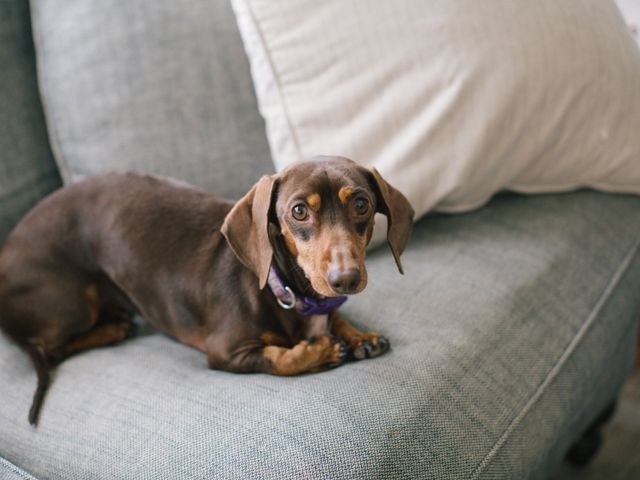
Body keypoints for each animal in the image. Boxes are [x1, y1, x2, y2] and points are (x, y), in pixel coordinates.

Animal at [0, 157, 416, 424]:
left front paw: (358, 334)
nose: (346, 278)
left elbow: (334, 317)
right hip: (72, 306)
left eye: (361, 204)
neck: (281, 287)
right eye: (299, 211)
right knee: (50, 348)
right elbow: (277, 359)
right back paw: (112, 328)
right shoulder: (226, 352)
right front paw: (319, 350)